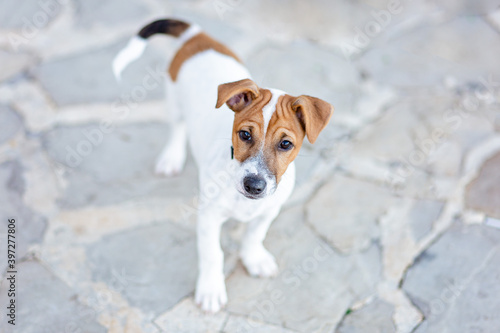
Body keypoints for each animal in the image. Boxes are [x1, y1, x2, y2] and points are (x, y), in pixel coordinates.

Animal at [112, 19, 332, 312]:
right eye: (245, 134)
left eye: (286, 144)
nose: (254, 185)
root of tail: (197, 36)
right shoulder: (209, 217)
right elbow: (212, 254)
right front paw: (211, 289)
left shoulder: (268, 211)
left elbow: (254, 235)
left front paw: (254, 258)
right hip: (174, 100)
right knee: (177, 127)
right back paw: (171, 157)